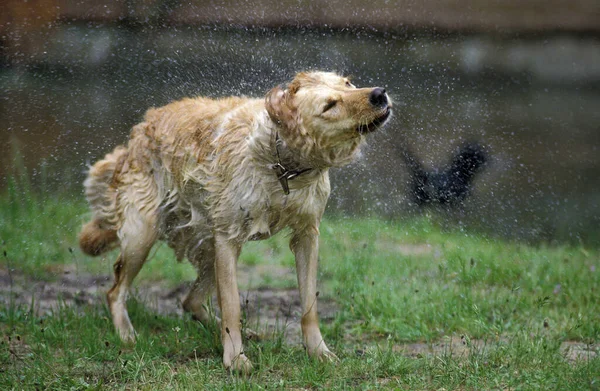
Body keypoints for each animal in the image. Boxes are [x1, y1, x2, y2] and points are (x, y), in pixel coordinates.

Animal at [77, 71, 392, 374]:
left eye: (348, 83)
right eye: (329, 105)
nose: (379, 93)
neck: (282, 164)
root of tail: (140, 130)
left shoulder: (307, 235)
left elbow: (309, 305)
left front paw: (318, 352)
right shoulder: (228, 239)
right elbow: (231, 306)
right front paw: (235, 359)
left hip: (206, 244)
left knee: (189, 301)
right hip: (144, 234)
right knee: (115, 291)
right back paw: (126, 334)